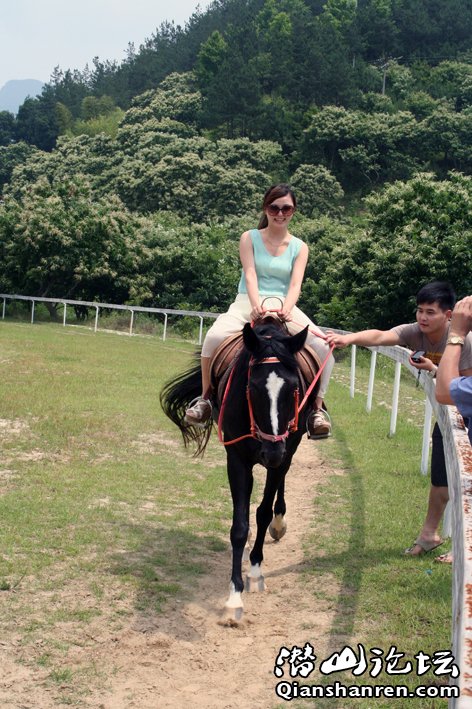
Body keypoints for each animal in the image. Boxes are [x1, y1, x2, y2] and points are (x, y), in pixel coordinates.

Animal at [160, 318, 321, 621]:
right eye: (253, 387)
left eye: (294, 387)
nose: (271, 452)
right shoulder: (236, 459)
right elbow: (240, 526)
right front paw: (234, 596)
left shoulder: (283, 452)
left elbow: (262, 512)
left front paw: (255, 571)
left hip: (287, 452)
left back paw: (279, 522)